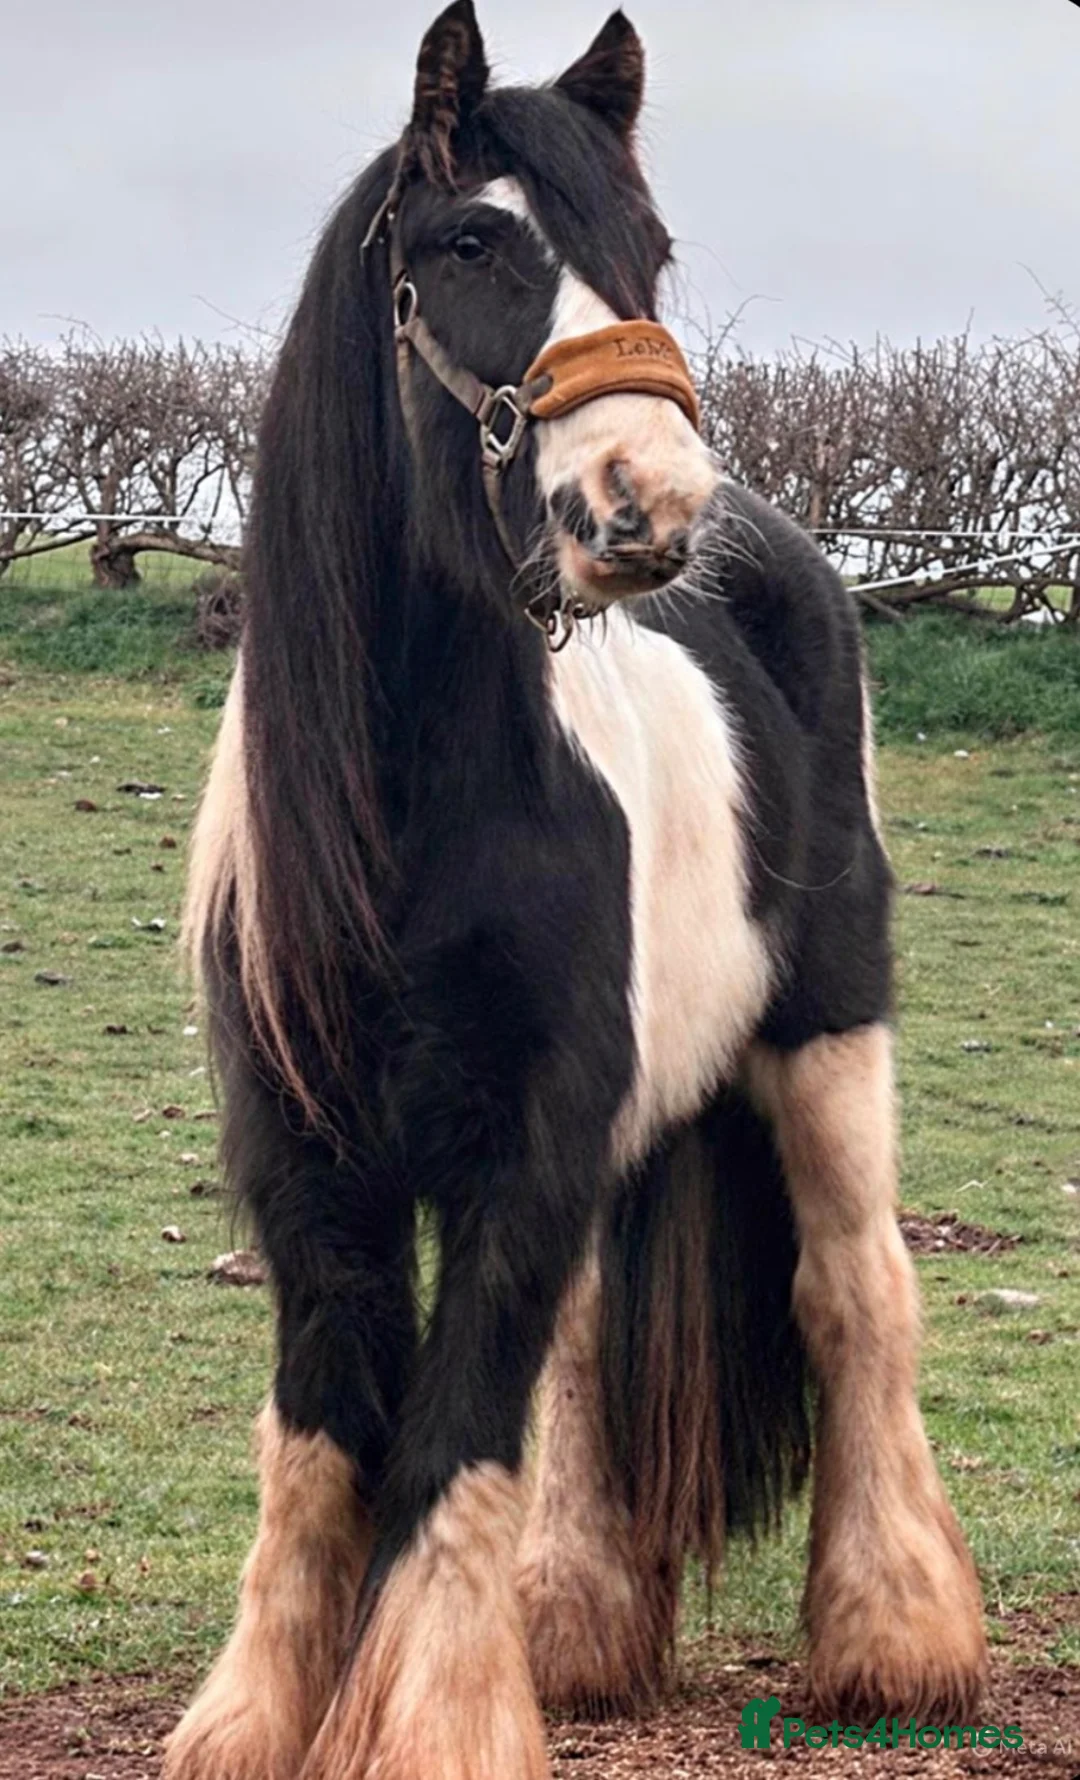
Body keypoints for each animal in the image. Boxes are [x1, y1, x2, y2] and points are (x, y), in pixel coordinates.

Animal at [167, 7, 988, 1777]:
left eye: (648, 250)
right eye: (473, 244)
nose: (649, 499)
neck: (408, 820)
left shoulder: (523, 1146)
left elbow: (452, 1435)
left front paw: (429, 1724)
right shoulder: (311, 1165)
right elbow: (328, 1437)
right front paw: (262, 1716)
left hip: (828, 1046)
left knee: (856, 1299)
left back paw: (896, 1641)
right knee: (592, 1348)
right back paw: (578, 1626)